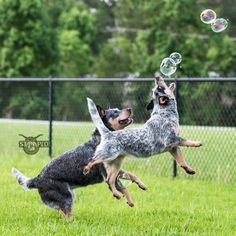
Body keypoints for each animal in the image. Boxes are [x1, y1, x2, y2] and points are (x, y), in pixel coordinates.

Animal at [12, 104, 148, 218]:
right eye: (115, 112)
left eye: (118, 108)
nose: (130, 108)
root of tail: (36, 179)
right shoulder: (107, 174)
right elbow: (122, 188)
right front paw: (127, 200)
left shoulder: (116, 169)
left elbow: (132, 175)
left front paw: (141, 186)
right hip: (67, 196)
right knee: (67, 215)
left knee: (63, 212)